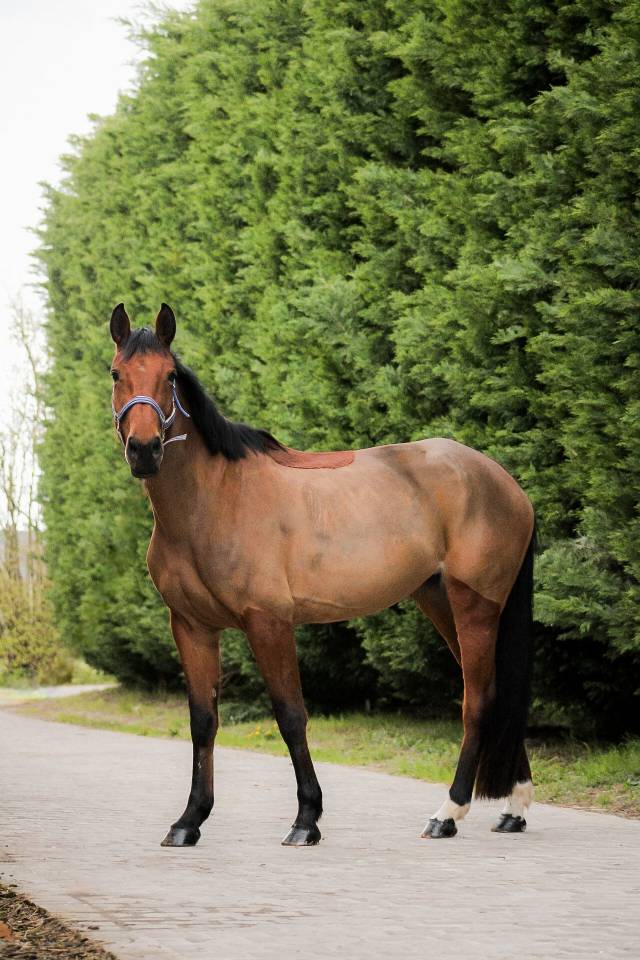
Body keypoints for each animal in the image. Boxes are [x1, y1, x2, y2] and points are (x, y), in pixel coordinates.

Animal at [109, 302, 535, 847]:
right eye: (116, 373)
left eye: (169, 376)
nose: (144, 449)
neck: (214, 502)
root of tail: (506, 484)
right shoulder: (191, 626)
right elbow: (203, 720)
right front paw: (189, 821)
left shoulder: (268, 623)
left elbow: (291, 715)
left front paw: (306, 819)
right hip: (441, 602)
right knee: (497, 692)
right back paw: (514, 809)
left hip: (474, 606)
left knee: (479, 700)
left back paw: (448, 813)